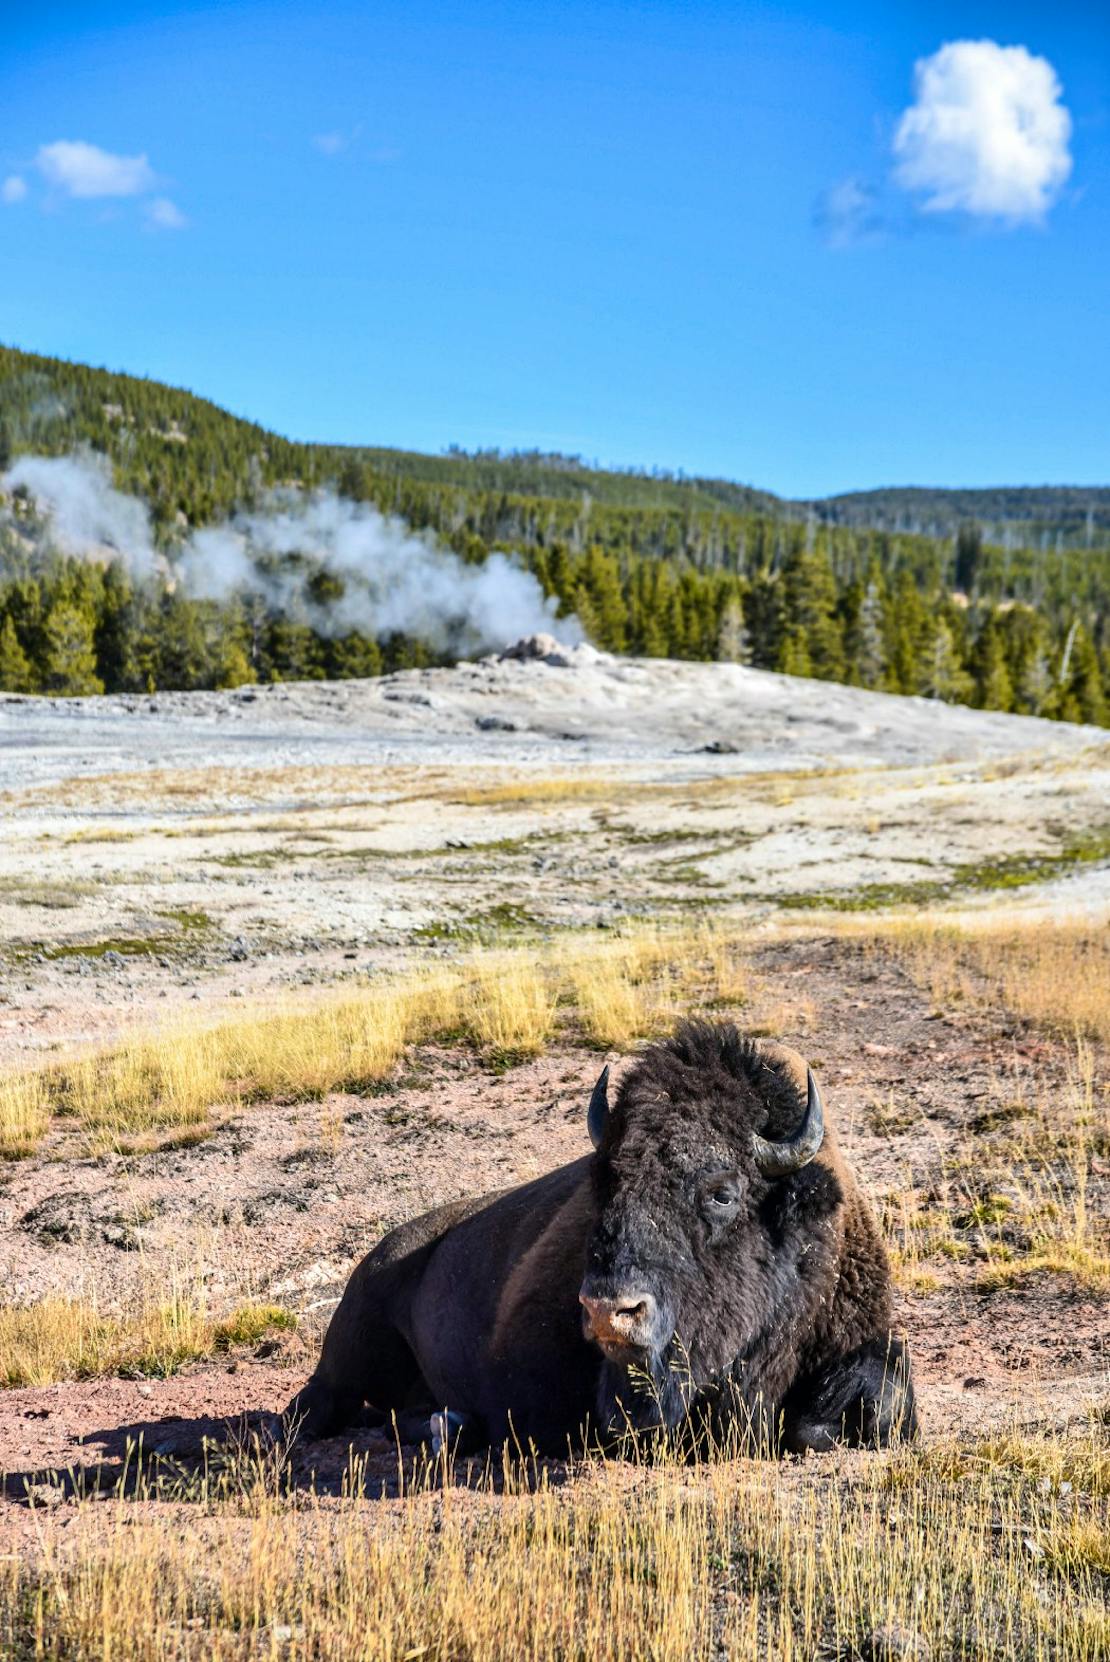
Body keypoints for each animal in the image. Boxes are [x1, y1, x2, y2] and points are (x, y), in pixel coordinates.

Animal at [285, 1017, 917, 1462]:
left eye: (723, 1192)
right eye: (605, 1181)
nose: (610, 1311)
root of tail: (380, 1253)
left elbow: (867, 1407)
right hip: (348, 1358)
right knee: (315, 1408)